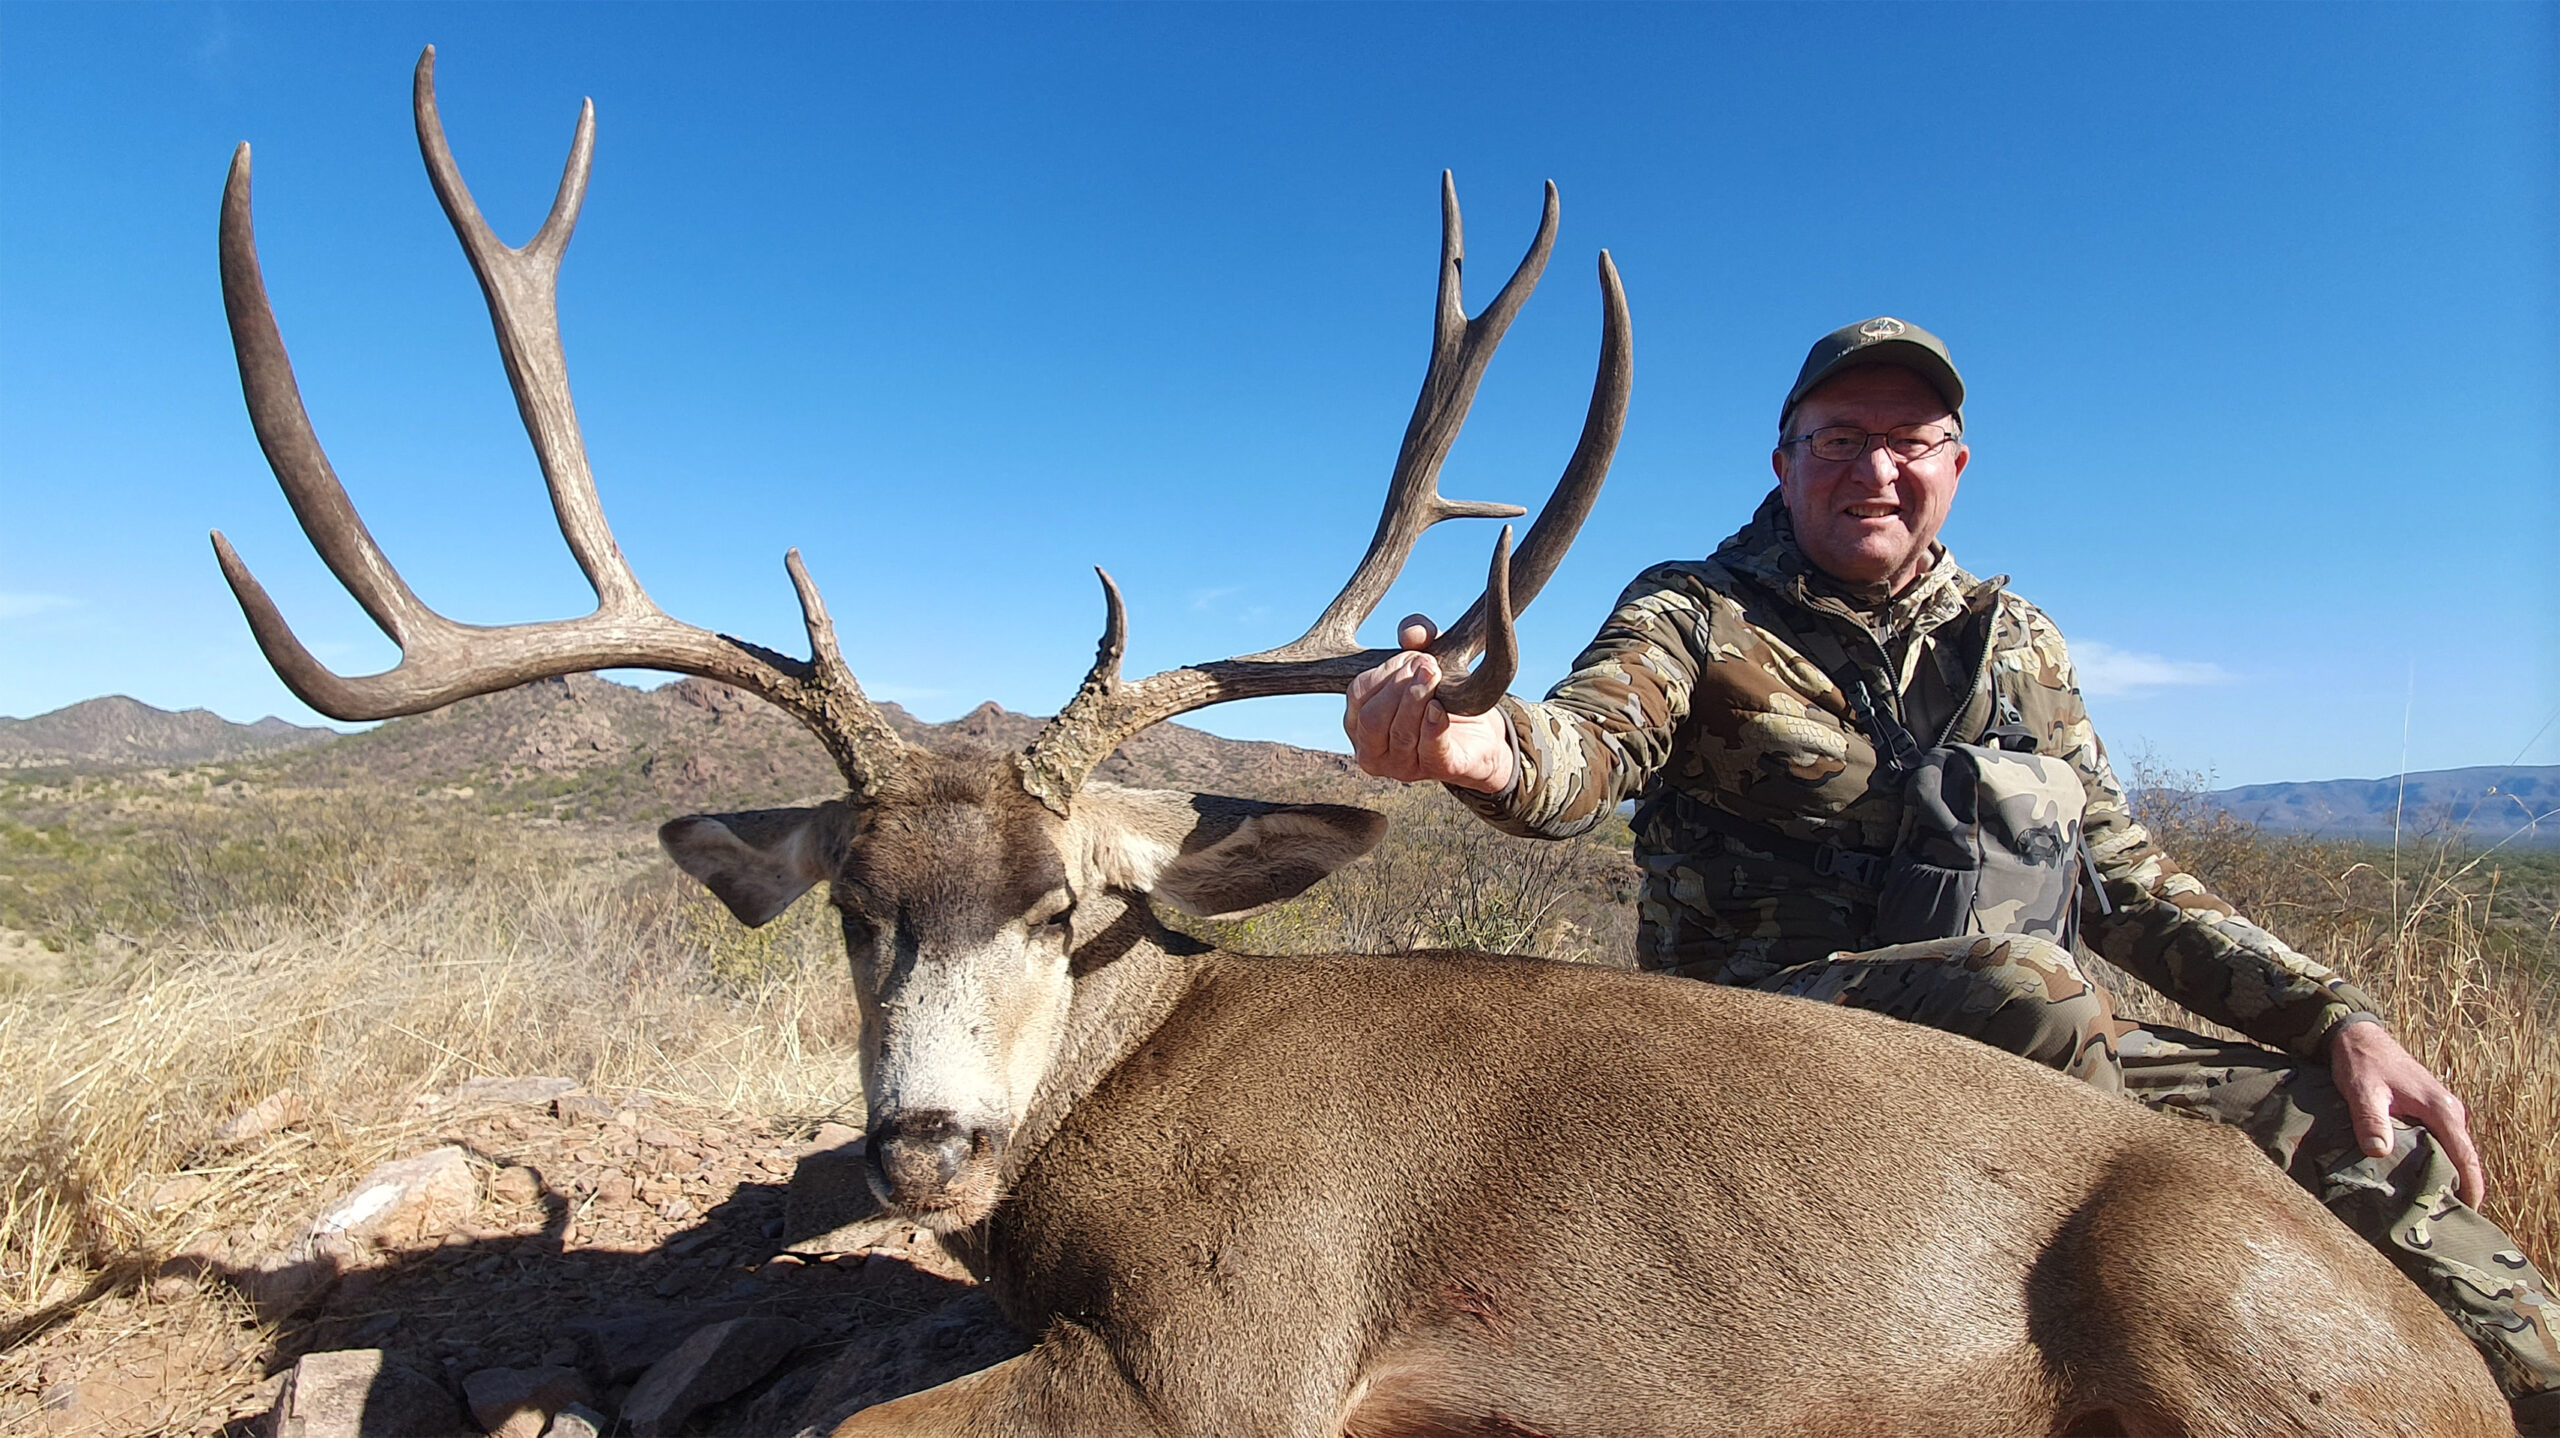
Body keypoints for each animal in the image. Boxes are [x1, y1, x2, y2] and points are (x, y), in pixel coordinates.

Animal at [210, 49, 2510, 1438]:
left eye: (1072, 906)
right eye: (854, 903)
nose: (920, 1140)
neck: (1118, 1112)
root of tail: (2460, 1369)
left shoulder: (1240, 1343)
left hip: (2207, 1303)